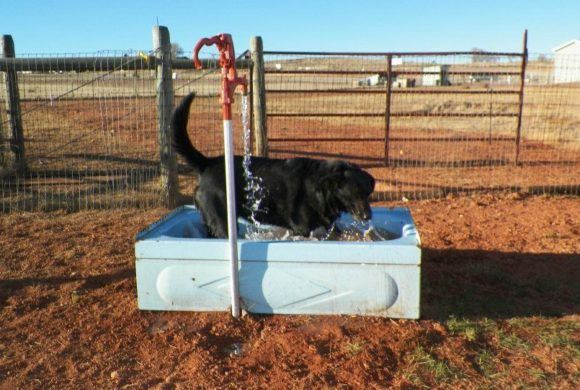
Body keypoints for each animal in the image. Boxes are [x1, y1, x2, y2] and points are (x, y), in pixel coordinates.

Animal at [171, 93, 376, 238]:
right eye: (354, 193)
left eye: (367, 194)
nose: (368, 216)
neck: (320, 189)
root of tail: (207, 162)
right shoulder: (302, 229)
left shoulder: (328, 226)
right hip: (223, 221)